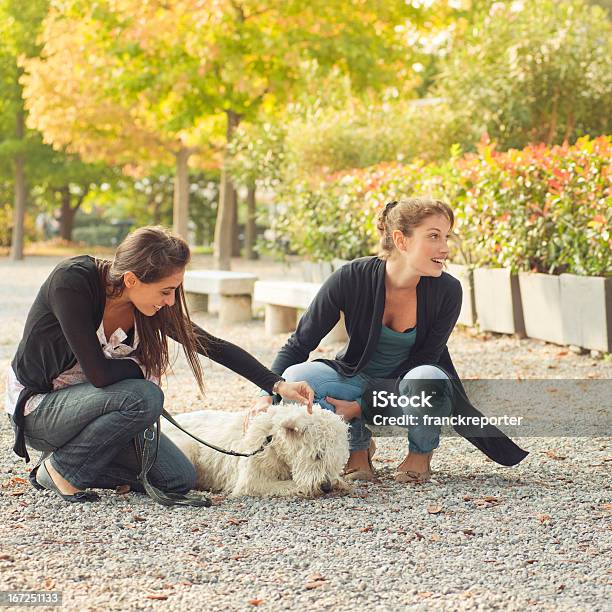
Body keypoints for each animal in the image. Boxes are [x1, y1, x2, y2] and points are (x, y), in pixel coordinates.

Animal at [164, 402, 350, 498]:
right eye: (317, 455)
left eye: (335, 459)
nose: (326, 487)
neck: (271, 441)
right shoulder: (252, 481)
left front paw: (340, 483)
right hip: (186, 446)